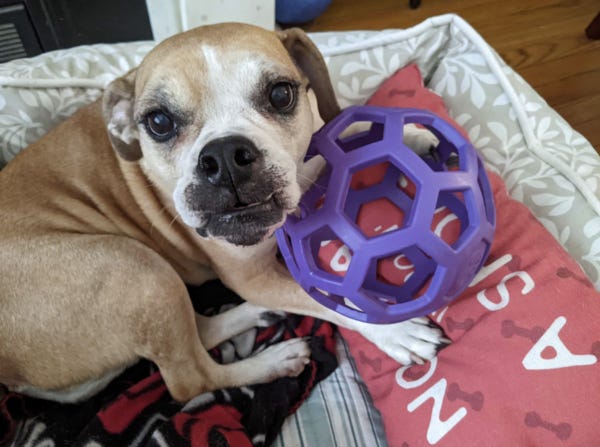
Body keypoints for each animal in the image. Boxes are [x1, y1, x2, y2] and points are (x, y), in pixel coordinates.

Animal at [0, 22, 446, 404]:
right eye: (158, 121)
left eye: (281, 94)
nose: (225, 156)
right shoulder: (251, 275)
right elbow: (326, 300)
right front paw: (395, 331)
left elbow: (340, 134)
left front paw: (410, 136)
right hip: (137, 269)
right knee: (191, 379)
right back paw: (273, 361)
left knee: (200, 330)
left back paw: (255, 315)